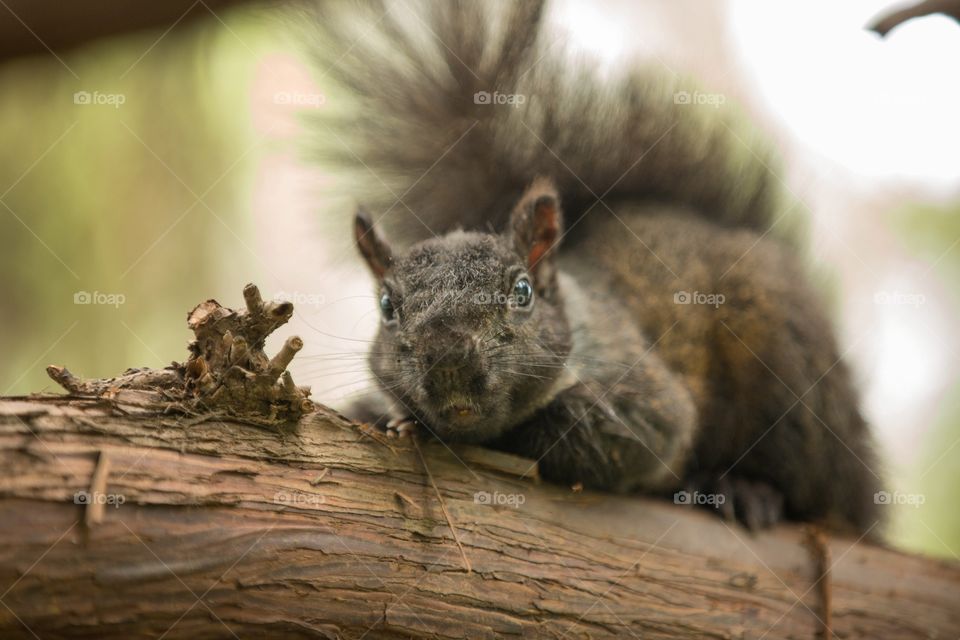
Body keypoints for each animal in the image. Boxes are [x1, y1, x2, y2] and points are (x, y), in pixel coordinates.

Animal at [308, 0, 884, 532]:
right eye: (386, 306)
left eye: (523, 292)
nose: (447, 355)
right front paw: (378, 412)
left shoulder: (646, 397)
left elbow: (600, 428)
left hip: (788, 367)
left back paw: (744, 488)